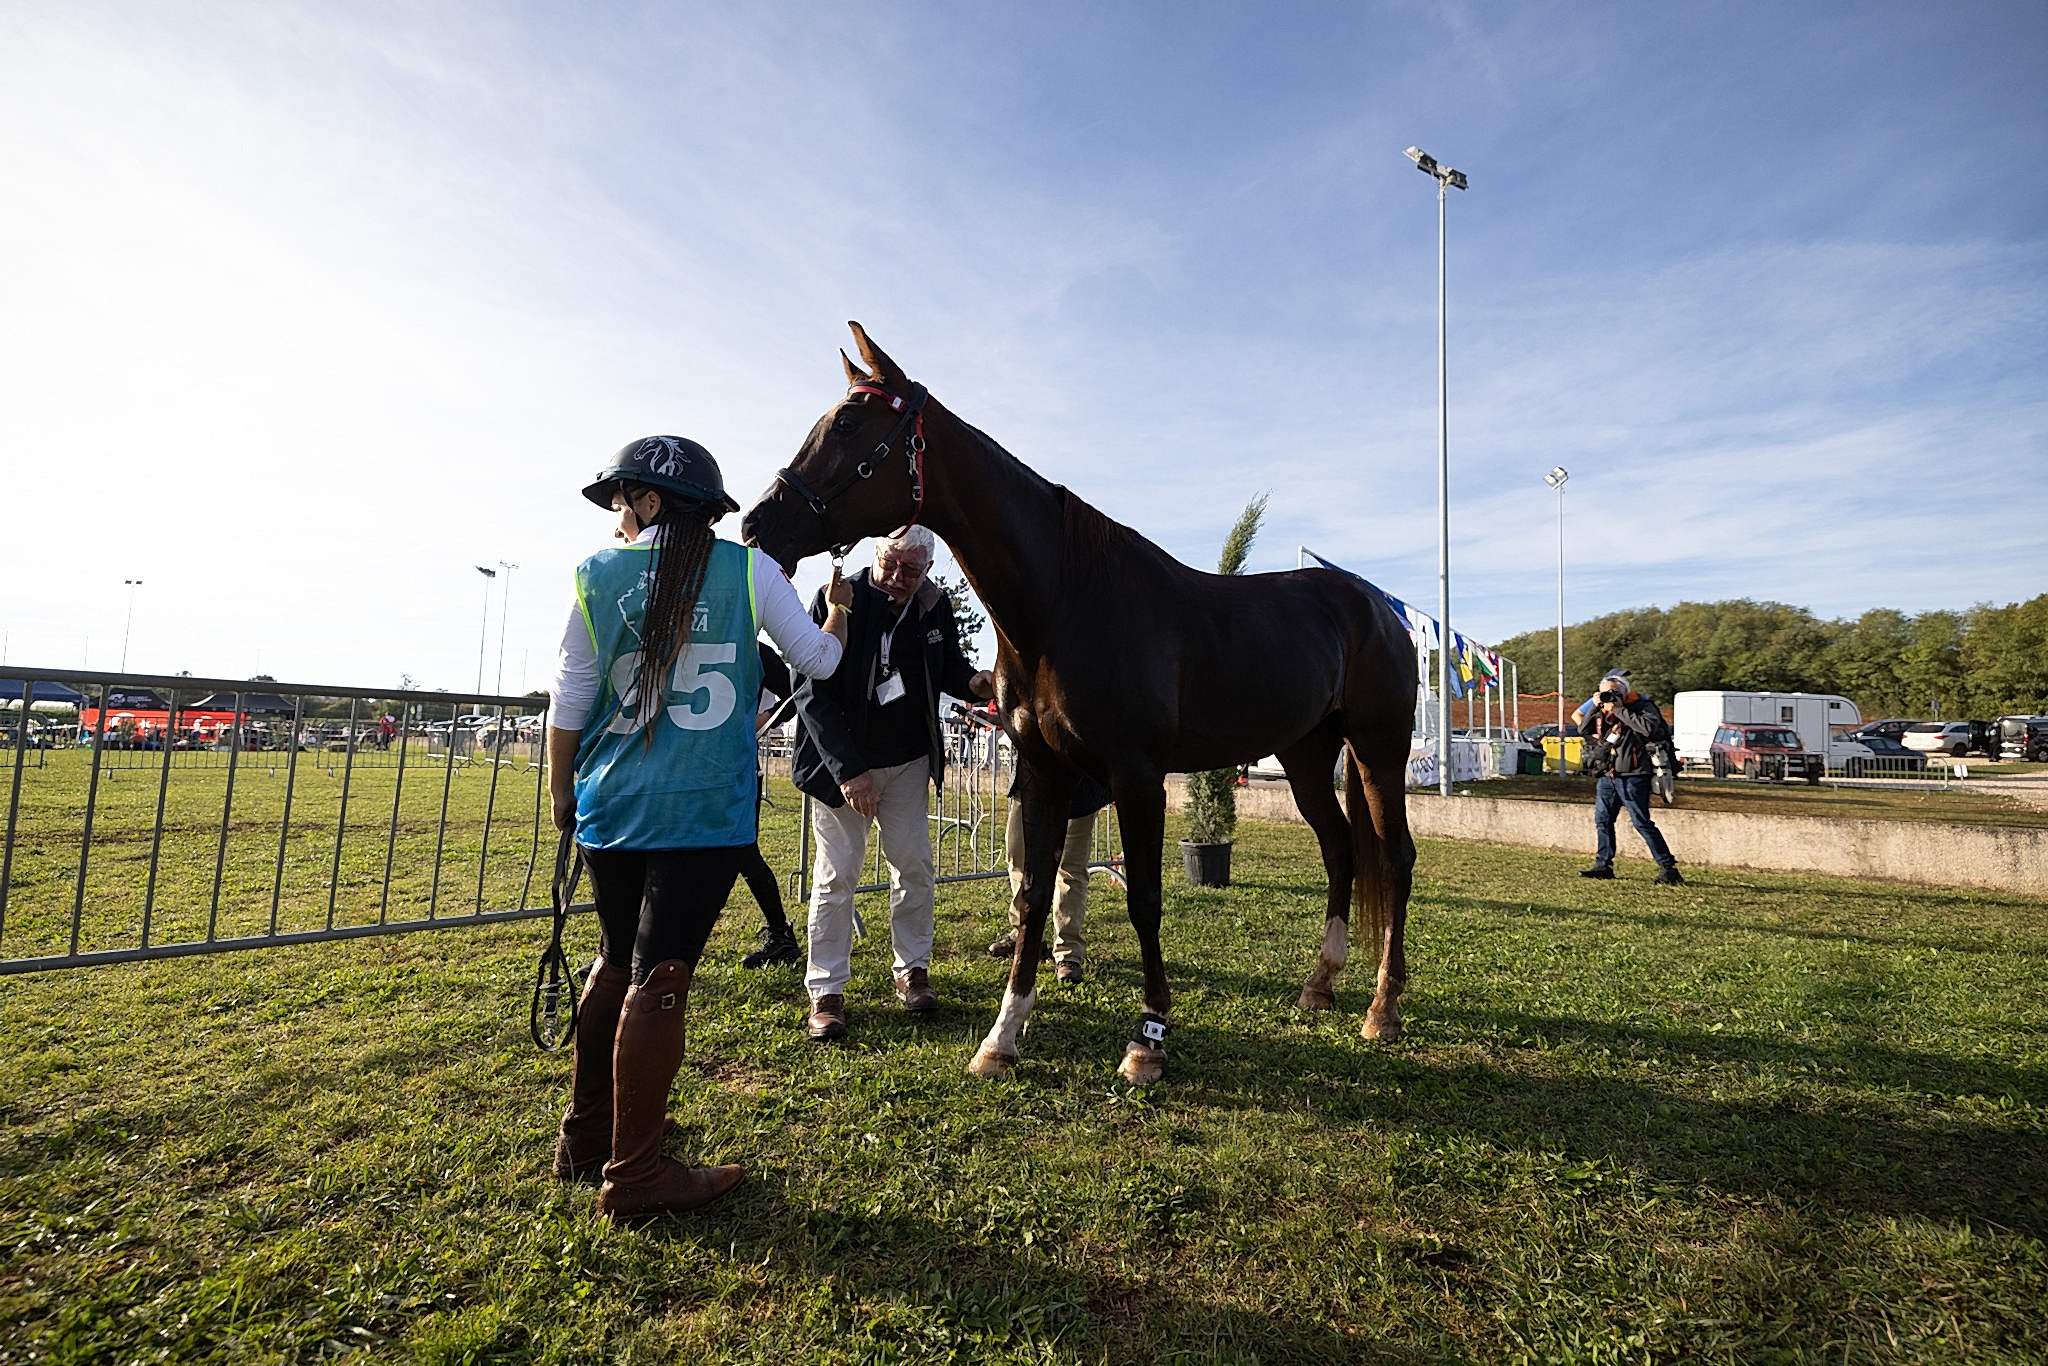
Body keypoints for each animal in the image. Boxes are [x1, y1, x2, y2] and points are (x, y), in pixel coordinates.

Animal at [740, 323, 1418, 1083]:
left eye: (850, 424)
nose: (760, 522)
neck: (1066, 602)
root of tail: (1376, 607)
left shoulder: (1138, 776)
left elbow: (1145, 899)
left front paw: (1148, 1038)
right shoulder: (1043, 771)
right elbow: (1033, 895)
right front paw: (1001, 1038)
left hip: (1378, 748)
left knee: (1393, 857)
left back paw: (1383, 1008)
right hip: (1305, 754)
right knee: (1340, 849)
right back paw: (1320, 984)